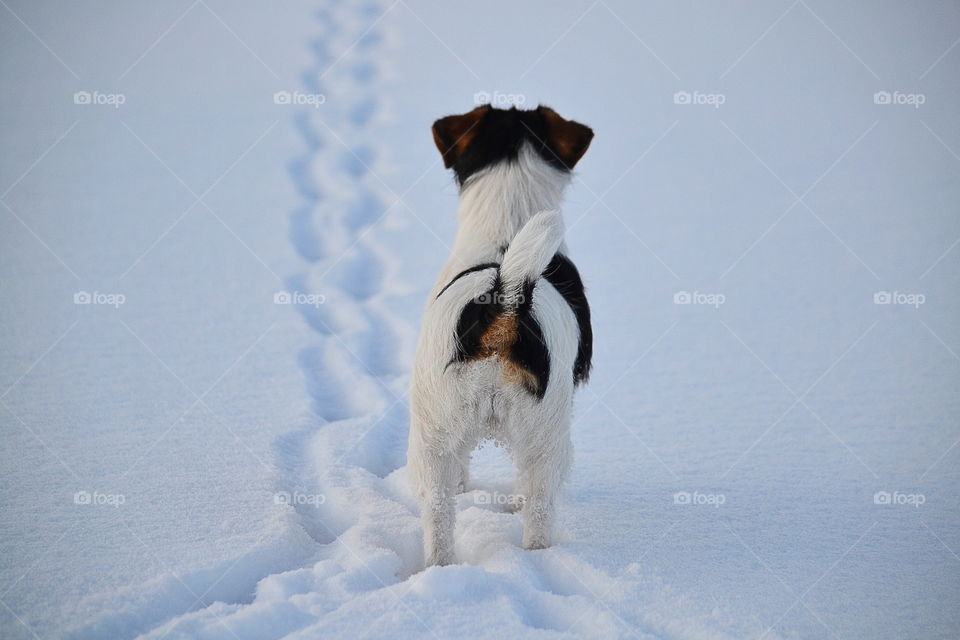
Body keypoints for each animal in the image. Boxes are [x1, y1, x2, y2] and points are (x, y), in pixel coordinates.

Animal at [406, 104, 592, 564]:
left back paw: (440, 568)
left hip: (433, 436)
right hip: (548, 435)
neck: (505, 233)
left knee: (439, 515)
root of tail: (505, 298)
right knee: (539, 511)